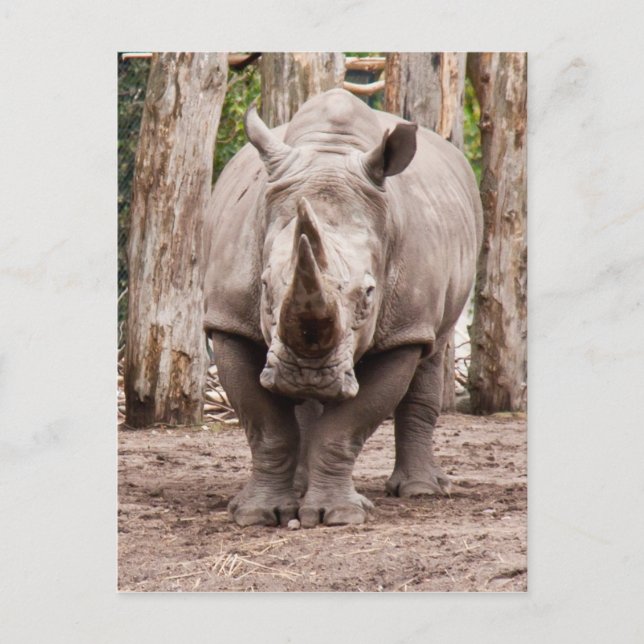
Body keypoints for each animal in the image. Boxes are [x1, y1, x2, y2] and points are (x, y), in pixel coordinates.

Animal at [203, 88, 482, 528]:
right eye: (263, 285)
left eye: (369, 293)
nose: (307, 373)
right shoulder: (228, 321)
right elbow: (267, 428)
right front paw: (256, 514)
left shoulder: (401, 332)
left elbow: (346, 429)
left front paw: (336, 516)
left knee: (434, 348)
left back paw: (422, 491)